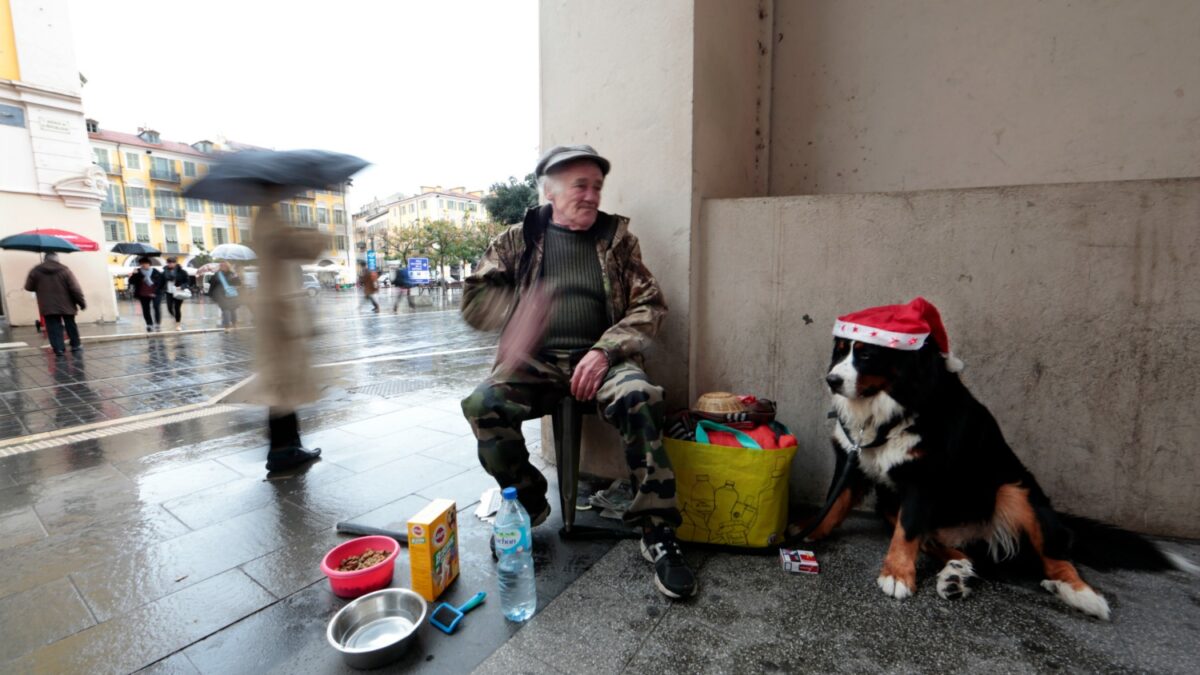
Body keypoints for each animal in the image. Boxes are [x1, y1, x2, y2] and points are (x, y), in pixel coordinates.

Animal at [792, 296, 1195, 619]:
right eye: (841, 349)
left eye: (867, 353)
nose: (831, 380)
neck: (889, 410)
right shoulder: (853, 461)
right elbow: (834, 506)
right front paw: (806, 532)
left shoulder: (922, 478)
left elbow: (906, 533)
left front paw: (896, 575)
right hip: (894, 506)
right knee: (974, 557)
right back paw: (957, 578)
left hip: (1014, 491)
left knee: (1055, 555)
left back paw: (1080, 593)